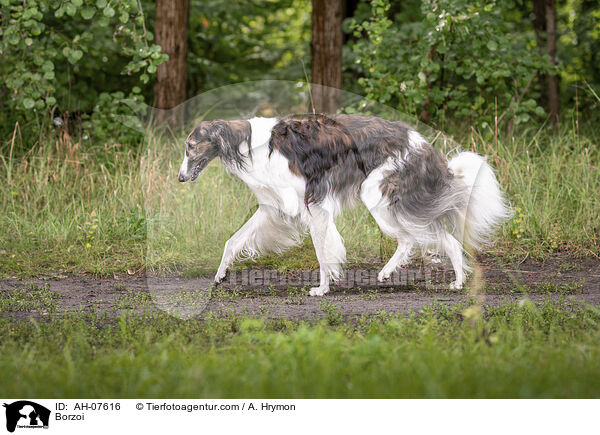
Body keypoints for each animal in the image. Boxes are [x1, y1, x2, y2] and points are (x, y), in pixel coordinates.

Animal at [178, 114, 510, 296]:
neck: (246, 144)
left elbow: (323, 254)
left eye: (190, 146)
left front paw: (323, 288)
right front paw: (220, 275)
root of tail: (424, 145)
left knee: (422, 238)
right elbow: (232, 241)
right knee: (425, 239)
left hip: (379, 197)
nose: (180, 177)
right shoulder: (272, 208)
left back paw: (447, 280)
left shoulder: (312, 205)